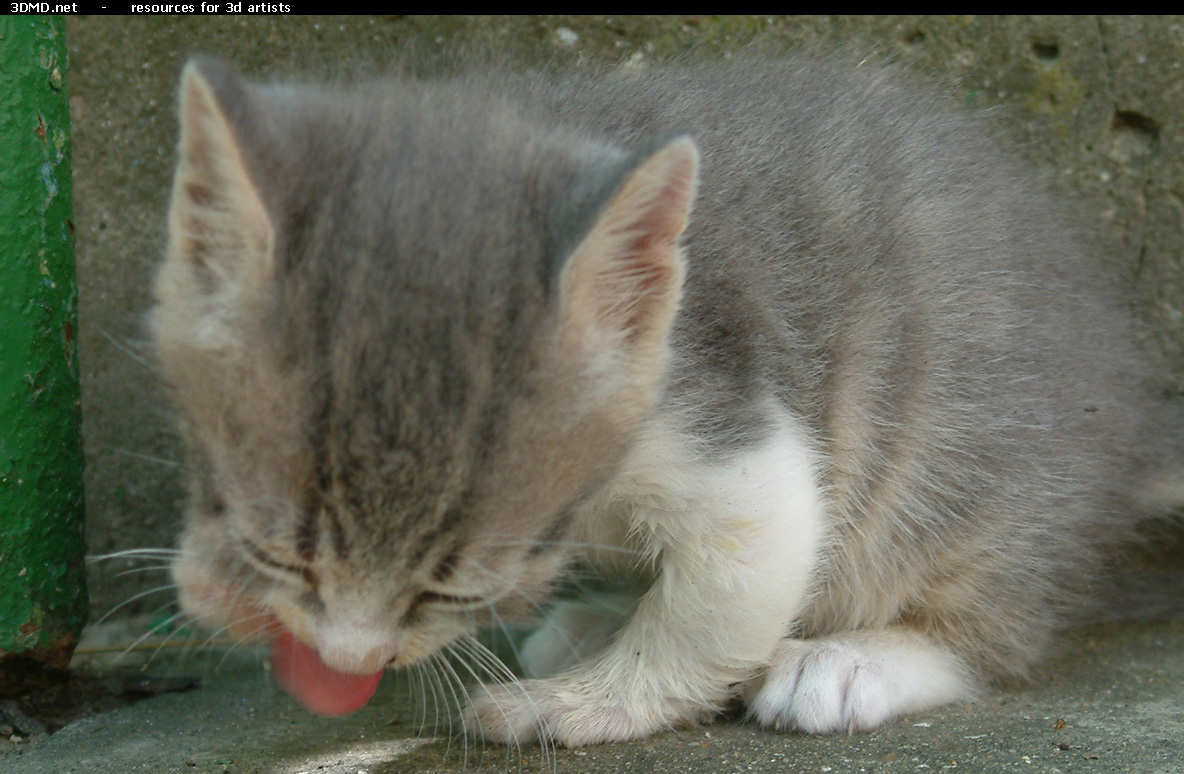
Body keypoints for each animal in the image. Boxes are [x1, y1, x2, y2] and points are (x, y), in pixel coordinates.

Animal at [152, 54, 1179, 747]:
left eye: (457, 584)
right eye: (278, 548)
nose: (349, 662)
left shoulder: (728, 422)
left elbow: (729, 589)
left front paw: (579, 706)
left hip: (978, 477)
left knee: (997, 627)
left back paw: (851, 659)